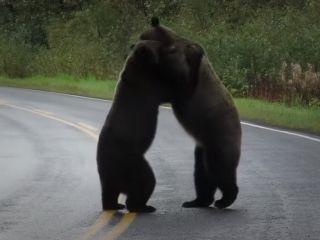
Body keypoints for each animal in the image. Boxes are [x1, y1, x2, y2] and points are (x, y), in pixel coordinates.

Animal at [96, 40, 172, 213]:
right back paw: (142, 206)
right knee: (146, 181)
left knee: (109, 191)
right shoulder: (146, 84)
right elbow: (164, 88)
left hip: (108, 172)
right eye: (159, 46)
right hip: (130, 161)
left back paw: (115, 204)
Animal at [141, 17, 241, 209]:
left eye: (142, 37)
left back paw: (225, 199)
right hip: (202, 147)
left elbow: (181, 84)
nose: (130, 46)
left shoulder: (189, 64)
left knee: (219, 169)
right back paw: (197, 201)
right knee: (201, 174)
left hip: (220, 136)